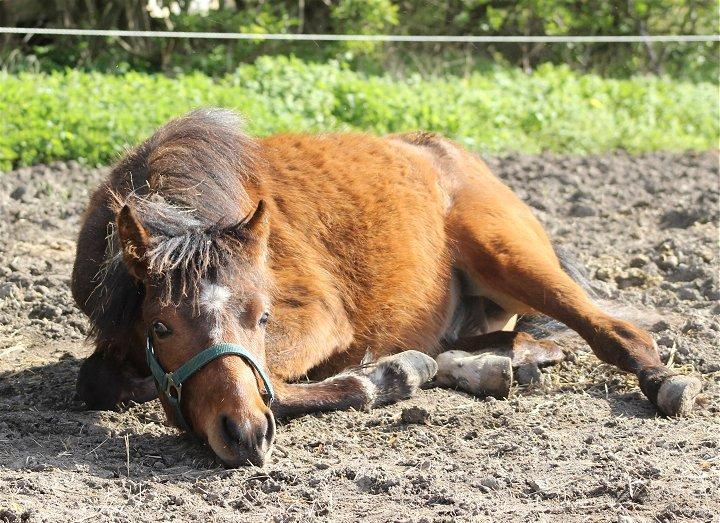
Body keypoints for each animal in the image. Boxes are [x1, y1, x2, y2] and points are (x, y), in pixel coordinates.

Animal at [71, 108, 696, 468]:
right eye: (161, 326)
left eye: (263, 317)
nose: (243, 434)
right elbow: (99, 383)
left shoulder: (319, 316)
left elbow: (273, 378)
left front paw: (381, 379)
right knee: (510, 342)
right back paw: (479, 367)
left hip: (509, 259)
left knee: (609, 330)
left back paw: (662, 382)